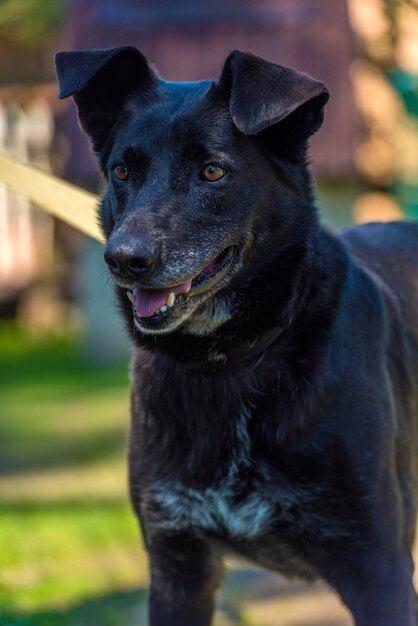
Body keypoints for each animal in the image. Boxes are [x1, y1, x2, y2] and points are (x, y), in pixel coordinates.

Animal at [55, 46, 418, 620]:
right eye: (121, 171)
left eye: (212, 171)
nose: (124, 260)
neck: (228, 361)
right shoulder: (178, 567)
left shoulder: (378, 570)